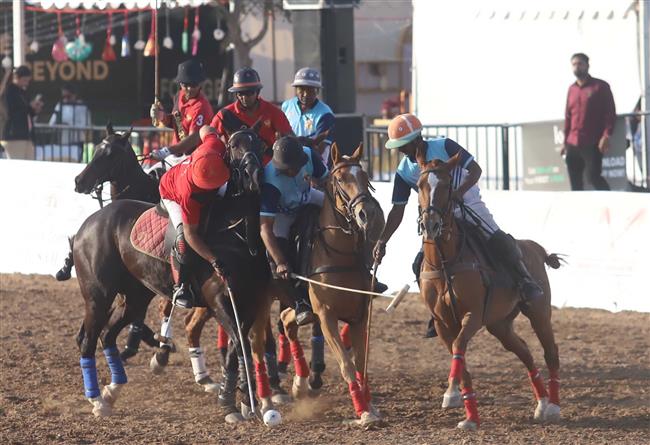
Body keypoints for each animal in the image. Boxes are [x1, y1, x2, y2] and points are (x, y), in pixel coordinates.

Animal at [72, 124, 278, 420]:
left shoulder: (249, 303)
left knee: (107, 334)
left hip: (135, 297)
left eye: (260, 145)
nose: (253, 175)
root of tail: (84, 226)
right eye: (235, 145)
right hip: (97, 296)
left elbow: (236, 347)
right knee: (88, 341)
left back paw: (112, 391)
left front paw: (234, 397)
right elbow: (239, 344)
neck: (239, 236)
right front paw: (234, 400)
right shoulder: (219, 300)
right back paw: (97, 398)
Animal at [280, 141, 384, 424]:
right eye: (340, 179)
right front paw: (363, 412)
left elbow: (360, 364)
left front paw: (369, 406)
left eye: (366, 177)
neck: (340, 253)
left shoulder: (360, 315)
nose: (367, 213)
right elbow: (347, 365)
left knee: (286, 320)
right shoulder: (326, 315)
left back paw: (300, 383)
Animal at [418, 153, 560, 430]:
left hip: (538, 312)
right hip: (500, 323)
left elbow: (459, 347)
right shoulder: (441, 322)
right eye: (420, 186)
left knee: (551, 352)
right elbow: (459, 356)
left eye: (447, 186)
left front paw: (453, 395)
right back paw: (541, 403)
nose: (431, 224)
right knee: (524, 351)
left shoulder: (473, 314)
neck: (444, 263)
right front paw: (468, 414)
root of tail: (535, 247)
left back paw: (554, 406)